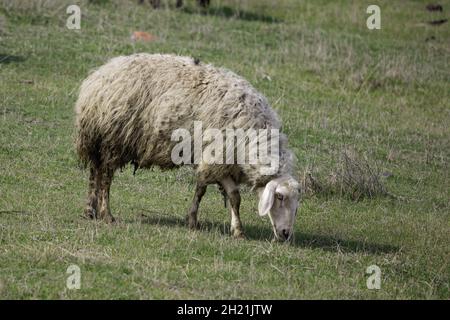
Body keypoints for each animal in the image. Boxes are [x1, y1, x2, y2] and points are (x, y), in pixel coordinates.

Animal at [74, 53, 302, 241]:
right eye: (279, 197)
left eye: (297, 206)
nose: (285, 234)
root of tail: (97, 77)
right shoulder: (217, 157)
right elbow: (224, 194)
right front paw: (214, 225)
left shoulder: (217, 160)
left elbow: (217, 193)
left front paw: (222, 226)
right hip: (113, 139)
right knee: (105, 178)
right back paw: (107, 214)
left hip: (98, 141)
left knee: (94, 173)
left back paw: (89, 210)